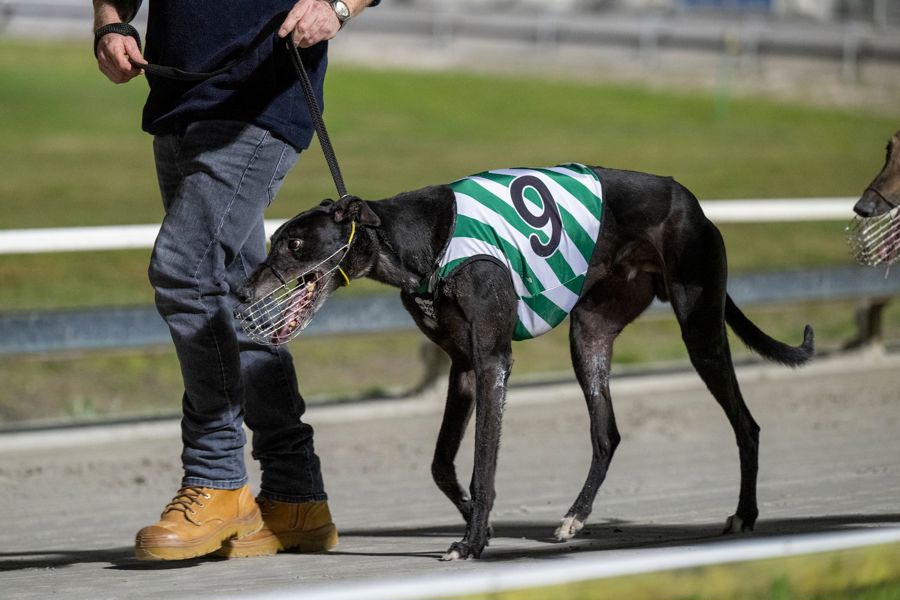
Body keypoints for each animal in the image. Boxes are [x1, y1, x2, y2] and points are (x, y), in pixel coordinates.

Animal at [239, 163, 815, 561]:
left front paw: (471, 543)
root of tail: (693, 203)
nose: (241, 292)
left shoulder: (493, 361)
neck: (420, 240)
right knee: (606, 433)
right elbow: (442, 465)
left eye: (294, 242)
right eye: (274, 240)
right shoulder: (463, 368)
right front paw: (480, 526)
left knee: (745, 424)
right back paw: (573, 519)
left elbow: (482, 467)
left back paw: (745, 514)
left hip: (700, 331)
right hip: (590, 334)